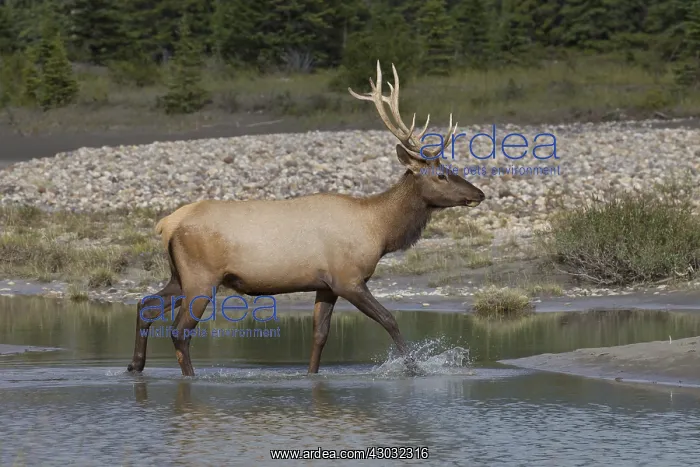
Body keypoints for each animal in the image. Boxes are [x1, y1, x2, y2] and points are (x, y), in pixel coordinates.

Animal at [126, 61, 486, 377]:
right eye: (441, 175)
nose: (479, 193)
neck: (380, 231)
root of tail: (167, 224)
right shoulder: (348, 278)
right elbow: (389, 319)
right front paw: (414, 367)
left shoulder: (325, 285)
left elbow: (320, 336)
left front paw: (311, 375)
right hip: (202, 277)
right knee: (179, 330)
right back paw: (190, 377)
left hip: (180, 275)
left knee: (146, 304)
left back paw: (135, 366)